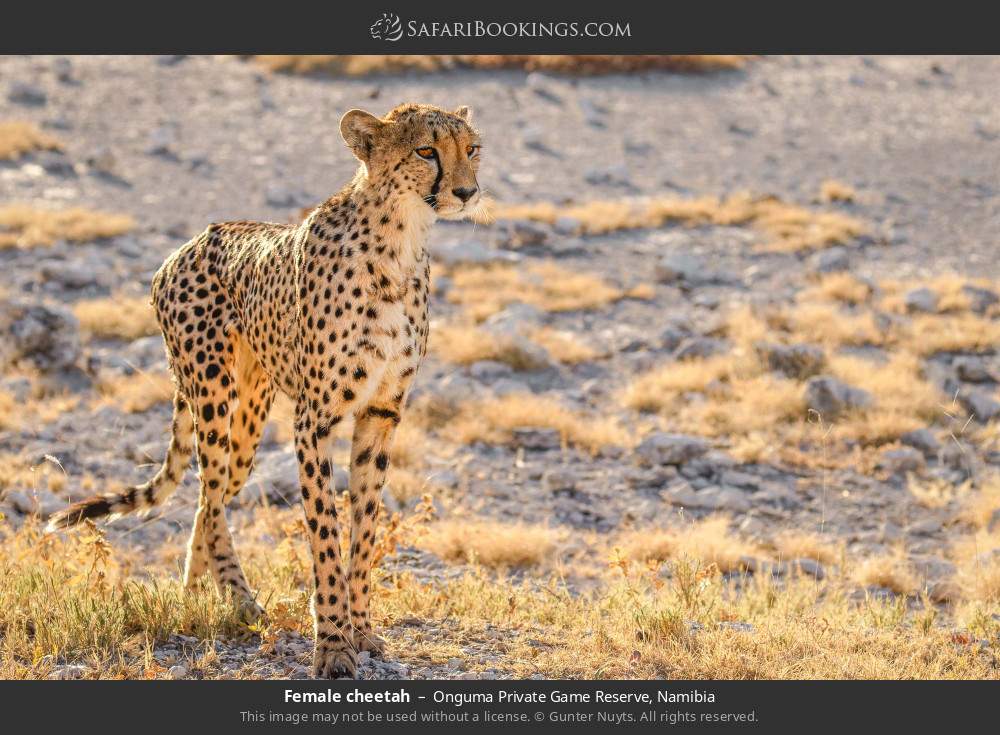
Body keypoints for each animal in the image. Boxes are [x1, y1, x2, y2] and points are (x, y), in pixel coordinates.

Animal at [48, 102, 486, 680]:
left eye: (472, 149)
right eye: (426, 151)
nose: (467, 191)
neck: (400, 242)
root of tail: (191, 242)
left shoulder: (381, 413)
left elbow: (364, 531)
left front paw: (363, 631)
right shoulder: (315, 419)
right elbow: (324, 536)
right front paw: (334, 646)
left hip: (249, 425)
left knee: (207, 500)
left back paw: (195, 594)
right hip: (212, 399)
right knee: (210, 495)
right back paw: (238, 600)